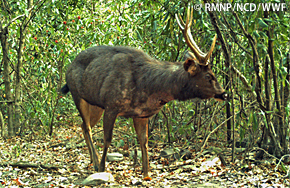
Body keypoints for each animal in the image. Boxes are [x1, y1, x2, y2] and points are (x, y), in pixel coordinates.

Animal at [60, 7, 227, 178]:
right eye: (208, 76)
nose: (223, 93)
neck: (149, 88)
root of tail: (70, 65)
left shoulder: (141, 114)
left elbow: (144, 143)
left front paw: (146, 174)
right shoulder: (112, 105)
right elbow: (107, 139)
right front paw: (102, 168)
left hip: (96, 105)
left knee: (83, 125)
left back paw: (92, 160)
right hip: (77, 95)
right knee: (87, 127)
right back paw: (95, 162)